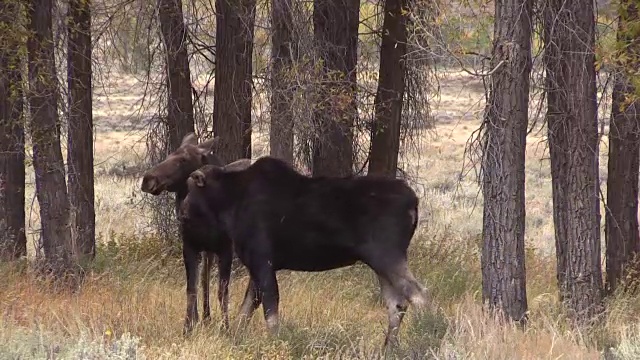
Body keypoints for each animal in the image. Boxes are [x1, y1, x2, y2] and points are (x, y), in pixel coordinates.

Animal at [140, 133, 232, 334]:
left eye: (183, 160)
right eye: (169, 155)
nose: (148, 179)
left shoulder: (226, 249)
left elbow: (223, 291)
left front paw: (226, 328)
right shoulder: (189, 246)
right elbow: (191, 288)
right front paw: (189, 326)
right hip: (206, 250)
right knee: (204, 278)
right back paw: (205, 316)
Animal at [182, 157, 430, 348]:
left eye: (190, 188)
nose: (182, 212)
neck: (230, 204)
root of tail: (415, 202)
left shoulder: (263, 261)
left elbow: (270, 311)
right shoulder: (256, 265)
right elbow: (246, 311)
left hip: (386, 255)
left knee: (419, 295)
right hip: (380, 263)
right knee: (397, 304)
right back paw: (388, 348)